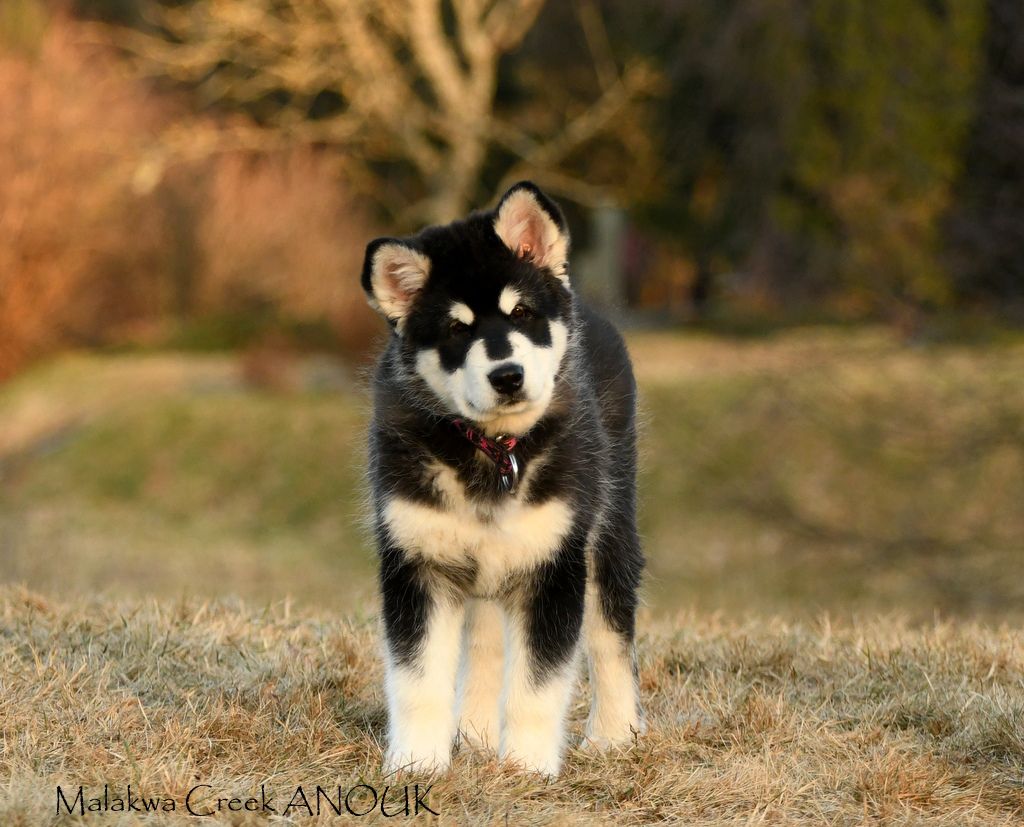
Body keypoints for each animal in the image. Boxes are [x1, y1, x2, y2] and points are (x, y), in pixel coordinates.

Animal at [362, 181, 638, 773]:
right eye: (456, 328)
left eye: (524, 312)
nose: (506, 376)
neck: (494, 450)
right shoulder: (417, 560)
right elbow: (418, 680)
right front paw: (416, 765)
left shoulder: (554, 561)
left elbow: (537, 684)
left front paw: (528, 769)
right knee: (486, 641)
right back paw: (475, 734)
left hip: (608, 528)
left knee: (611, 634)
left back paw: (614, 734)